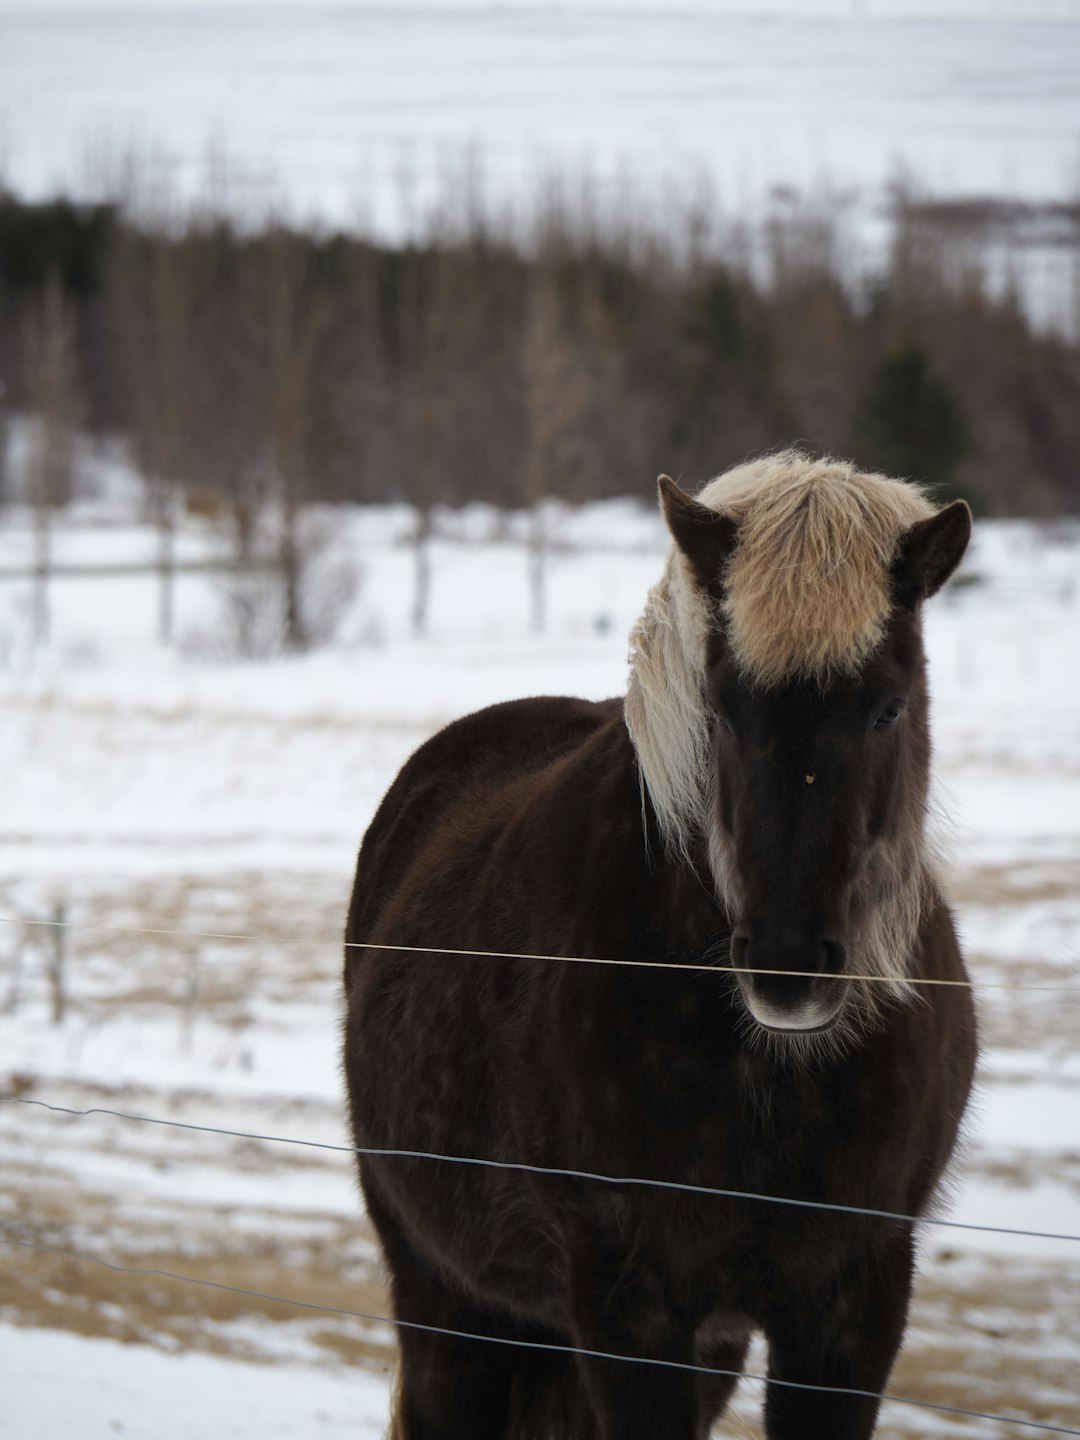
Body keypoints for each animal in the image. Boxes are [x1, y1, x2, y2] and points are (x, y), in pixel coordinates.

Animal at [344, 452, 979, 1440]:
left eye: (887, 708)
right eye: (721, 709)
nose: (789, 966)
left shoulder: (854, 1304)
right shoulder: (630, 1309)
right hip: (449, 1301)